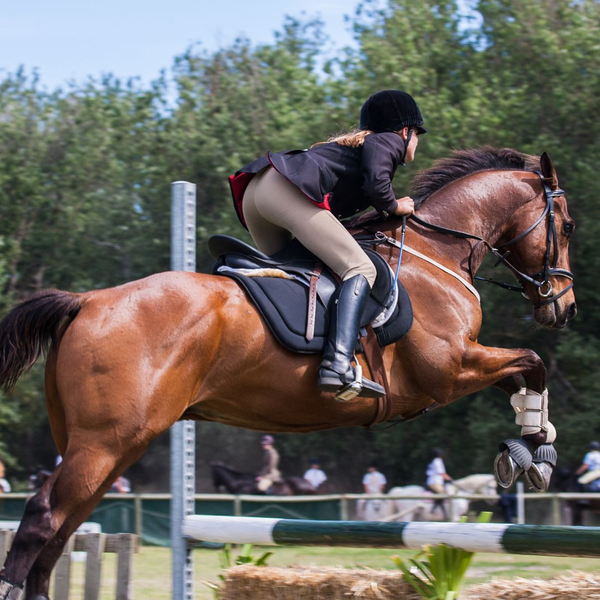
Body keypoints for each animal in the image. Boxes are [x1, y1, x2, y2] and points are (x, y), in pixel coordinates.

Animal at [356, 474, 496, 520]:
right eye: (491, 487)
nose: (494, 500)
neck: (460, 491)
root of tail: (399, 490)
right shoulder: (455, 516)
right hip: (408, 514)